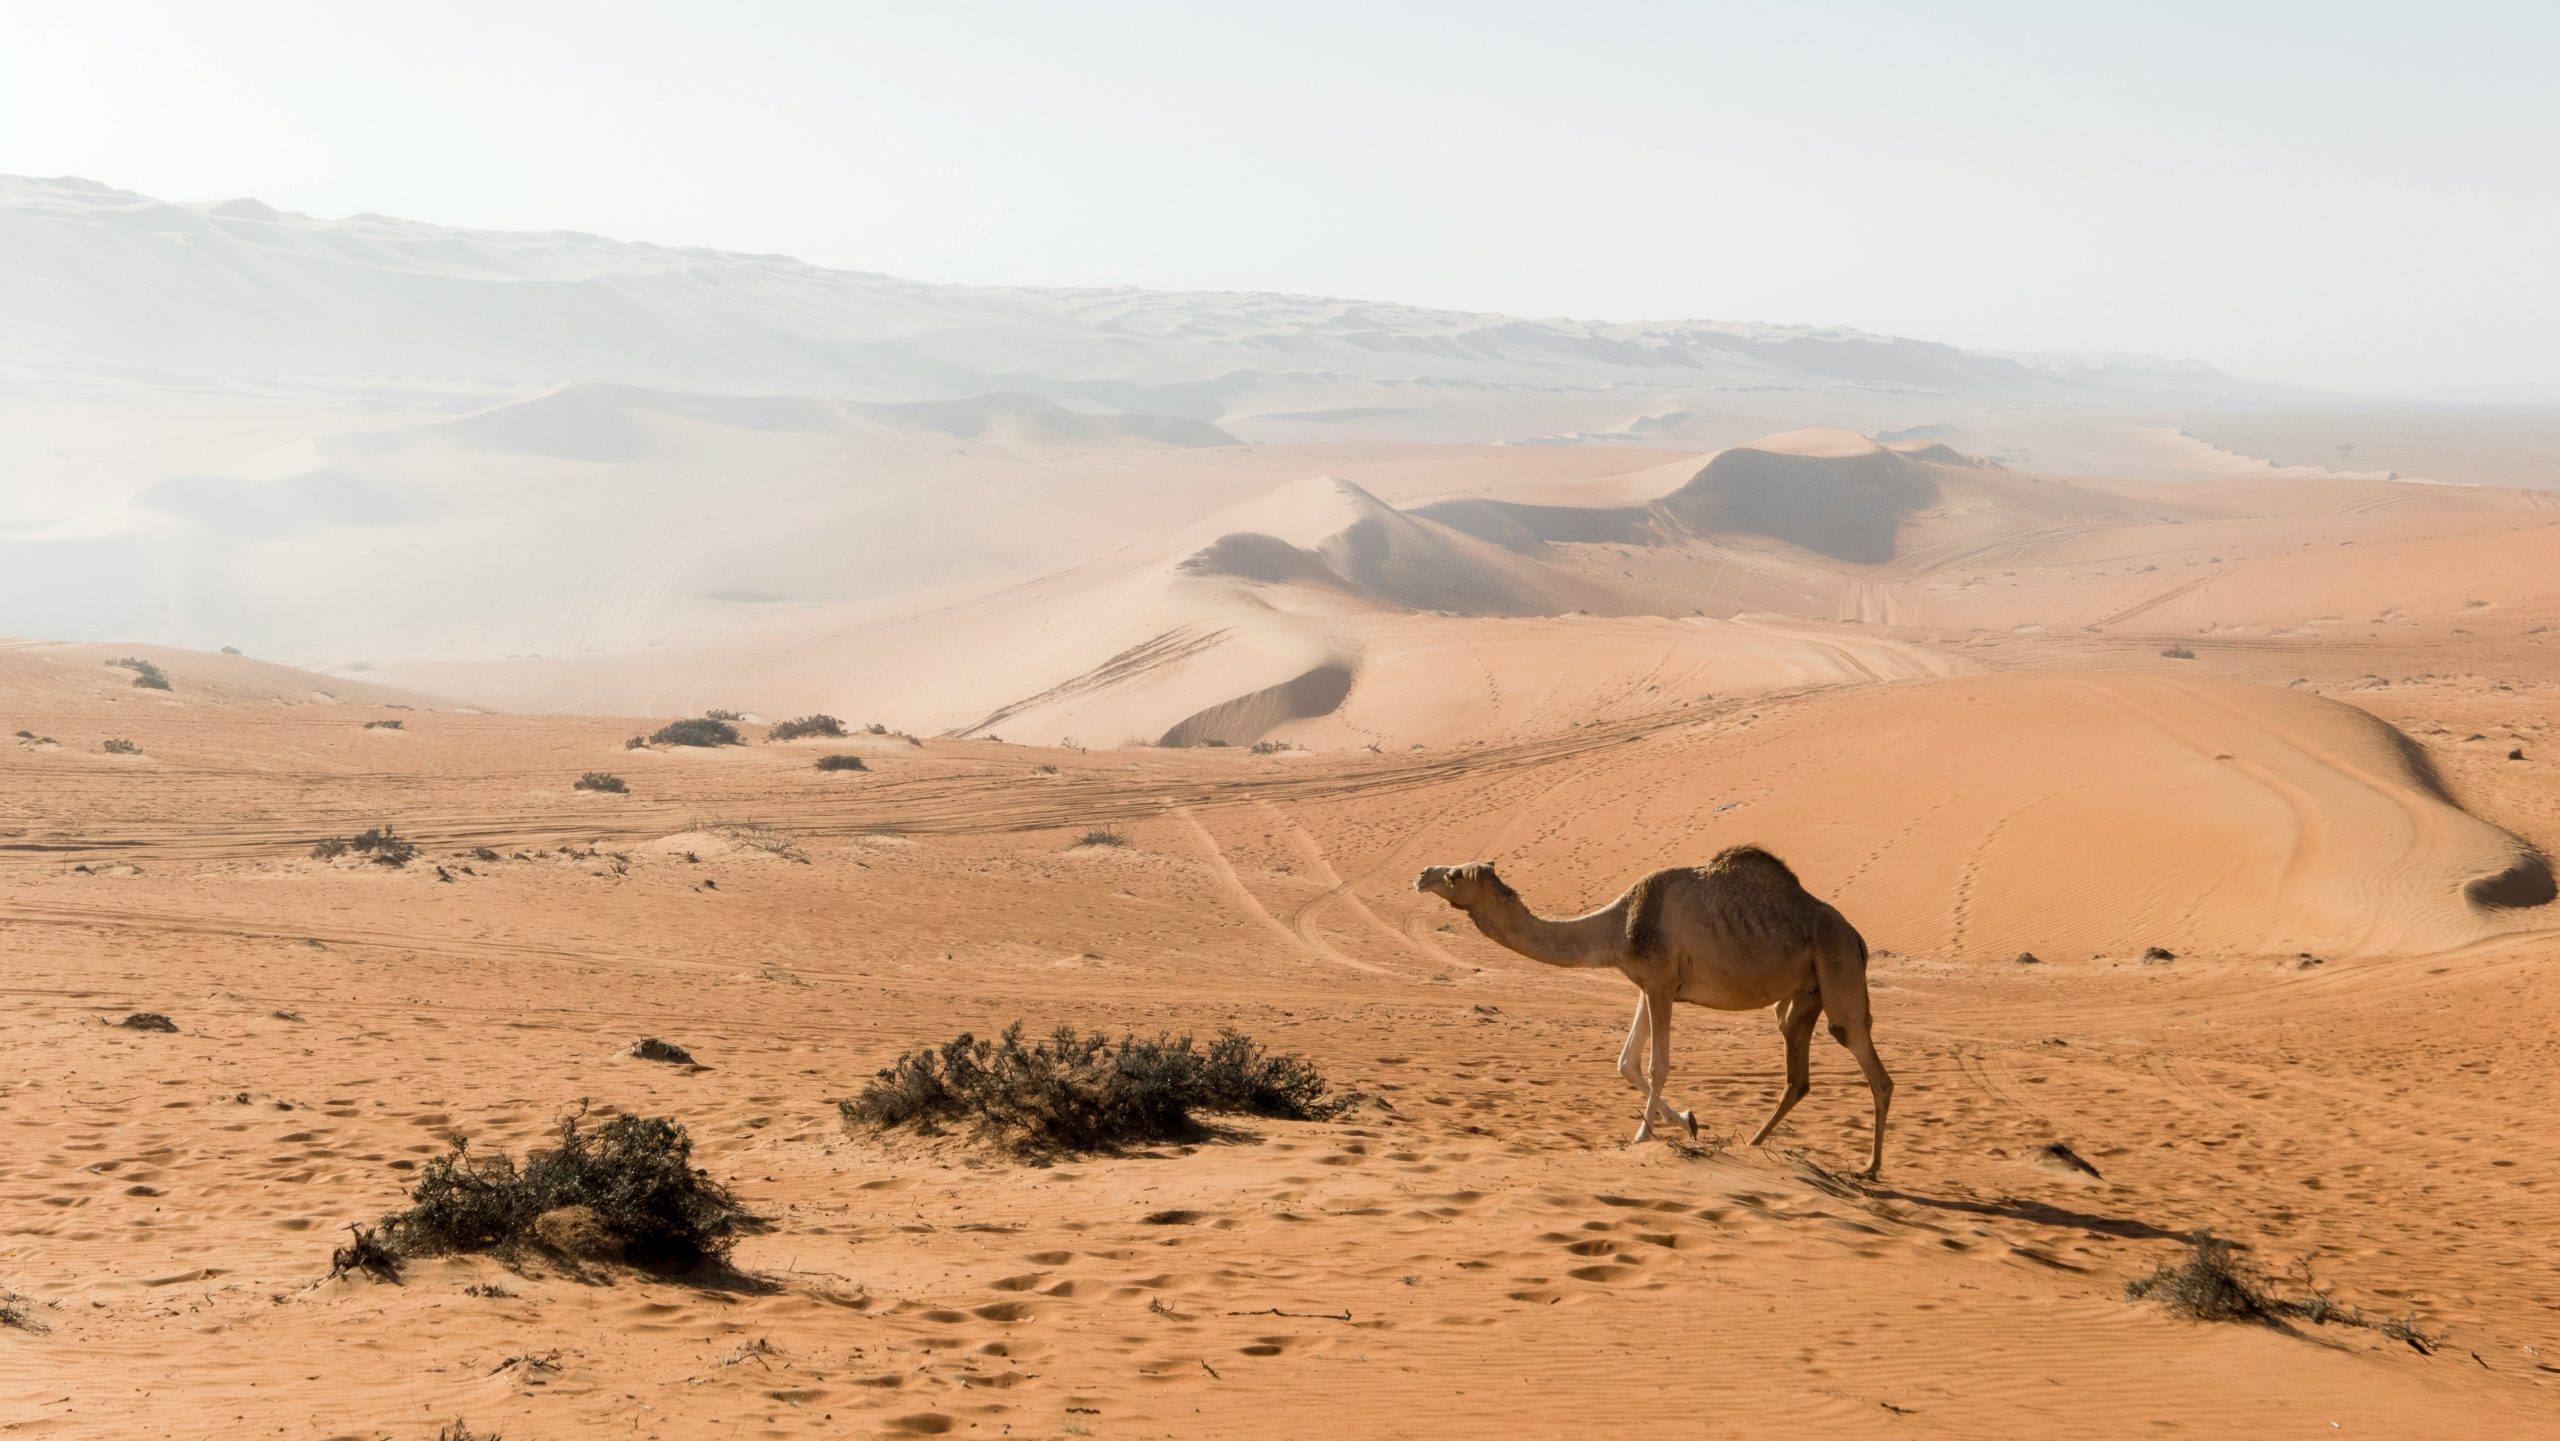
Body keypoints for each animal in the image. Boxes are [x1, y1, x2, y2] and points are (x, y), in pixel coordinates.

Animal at [1413, 849, 1894, 1177]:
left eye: (1454, 874)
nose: (1422, 874)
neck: (1618, 924)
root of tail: (1858, 938)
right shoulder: (1648, 986)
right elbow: (1625, 1061)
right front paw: (1688, 1121)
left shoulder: (1661, 984)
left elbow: (1656, 1064)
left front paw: (1644, 1135)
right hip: (1804, 994)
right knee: (1798, 1074)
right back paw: (1755, 1142)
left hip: (1837, 966)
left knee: (1867, 1059)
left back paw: (1870, 1168)